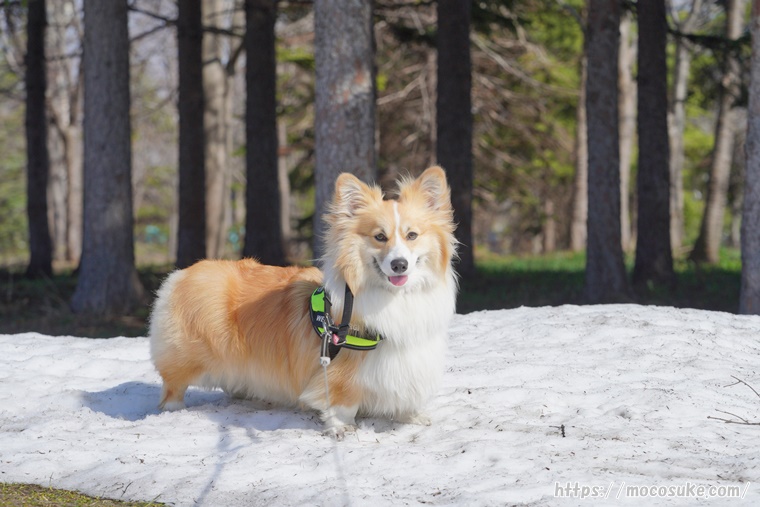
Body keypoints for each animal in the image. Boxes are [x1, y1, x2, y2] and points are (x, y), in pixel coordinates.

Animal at [148, 166, 458, 436]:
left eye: (412, 235)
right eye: (379, 237)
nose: (399, 264)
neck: (395, 299)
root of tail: (180, 274)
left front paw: (413, 416)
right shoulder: (342, 372)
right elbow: (342, 404)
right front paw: (342, 428)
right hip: (188, 357)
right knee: (172, 385)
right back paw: (173, 410)